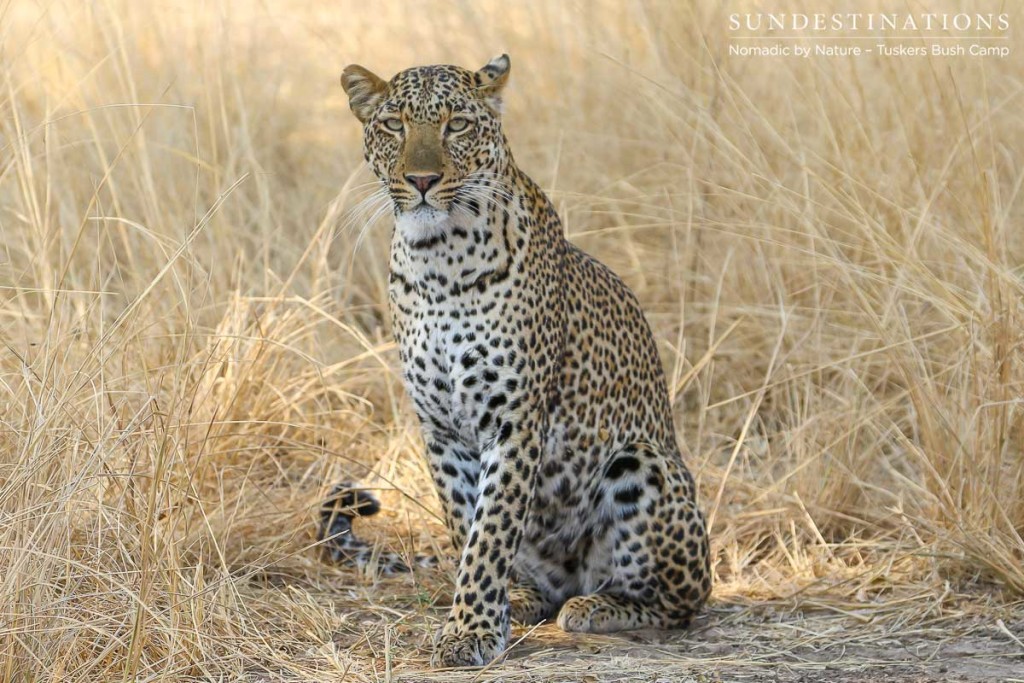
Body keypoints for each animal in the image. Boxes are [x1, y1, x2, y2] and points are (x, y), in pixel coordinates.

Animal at [335, 56, 712, 671]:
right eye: (393, 125)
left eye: (458, 125)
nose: (422, 181)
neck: (435, 261)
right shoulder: (440, 429)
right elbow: (467, 523)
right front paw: (487, 611)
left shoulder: (513, 422)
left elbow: (490, 530)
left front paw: (470, 630)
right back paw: (529, 594)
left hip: (644, 462)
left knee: (680, 599)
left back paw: (595, 606)